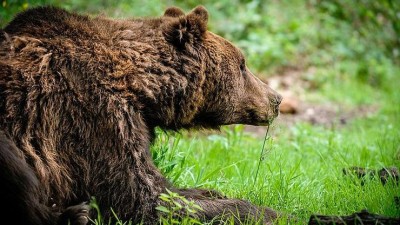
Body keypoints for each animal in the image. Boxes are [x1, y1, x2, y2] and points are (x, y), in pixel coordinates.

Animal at [0, 5, 282, 225]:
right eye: (242, 64)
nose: (276, 99)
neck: (141, 86)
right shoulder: (93, 114)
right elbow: (141, 197)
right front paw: (269, 212)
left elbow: (173, 190)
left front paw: (212, 193)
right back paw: (76, 215)